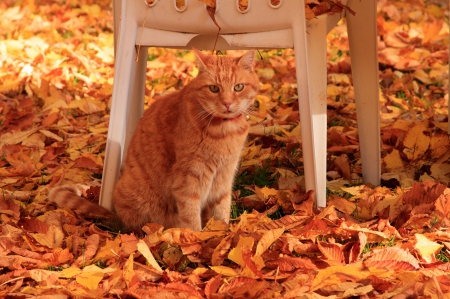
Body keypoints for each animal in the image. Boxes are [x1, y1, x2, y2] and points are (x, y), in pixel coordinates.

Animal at [48, 48, 260, 232]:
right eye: (214, 88)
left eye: (238, 87)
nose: (227, 103)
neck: (225, 131)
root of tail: (115, 216)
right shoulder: (188, 179)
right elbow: (191, 217)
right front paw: (197, 240)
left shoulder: (224, 176)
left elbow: (221, 211)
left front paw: (222, 235)